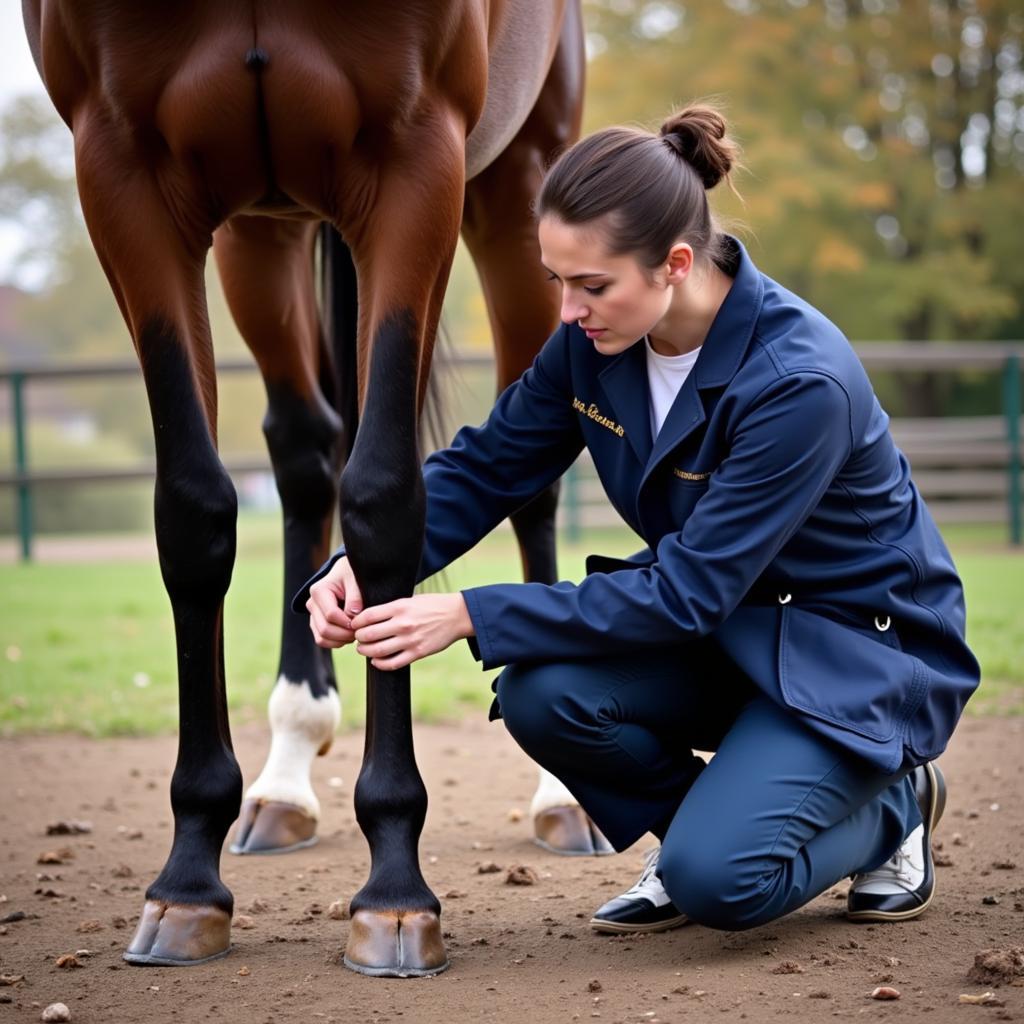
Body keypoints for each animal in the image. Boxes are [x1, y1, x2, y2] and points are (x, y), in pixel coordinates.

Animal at [24, 0, 598, 974]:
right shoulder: (122, 172)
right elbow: (194, 508)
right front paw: (187, 878)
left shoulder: (418, 162)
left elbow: (387, 501)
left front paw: (396, 888)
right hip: (263, 232)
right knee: (306, 452)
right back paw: (286, 772)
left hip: (520, 190)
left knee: (528, 482)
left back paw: (561, 792)